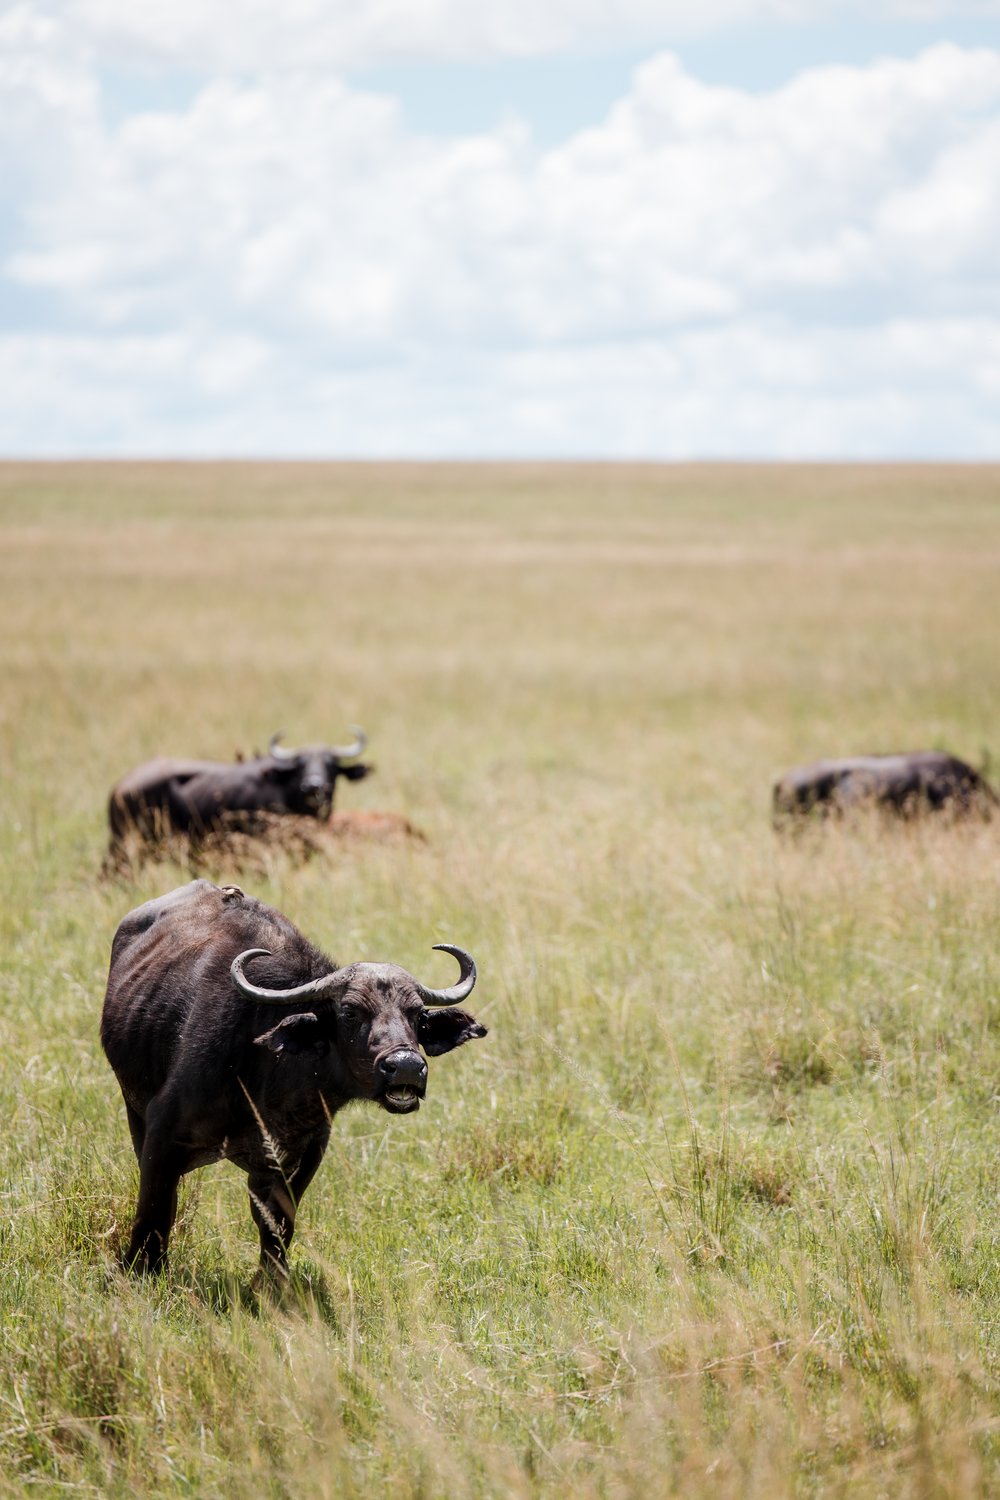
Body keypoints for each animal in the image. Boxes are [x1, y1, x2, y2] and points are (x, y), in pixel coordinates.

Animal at [101, 876, 488, 1278]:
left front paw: (272, 1278)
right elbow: (155, 1211)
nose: (407, 1065)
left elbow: (277, 1223)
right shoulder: (160, 1137)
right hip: (134, 1111)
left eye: (417, 1014)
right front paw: (141, 1269)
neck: (268, 1086)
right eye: (350, 1012)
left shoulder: (302, 1155)